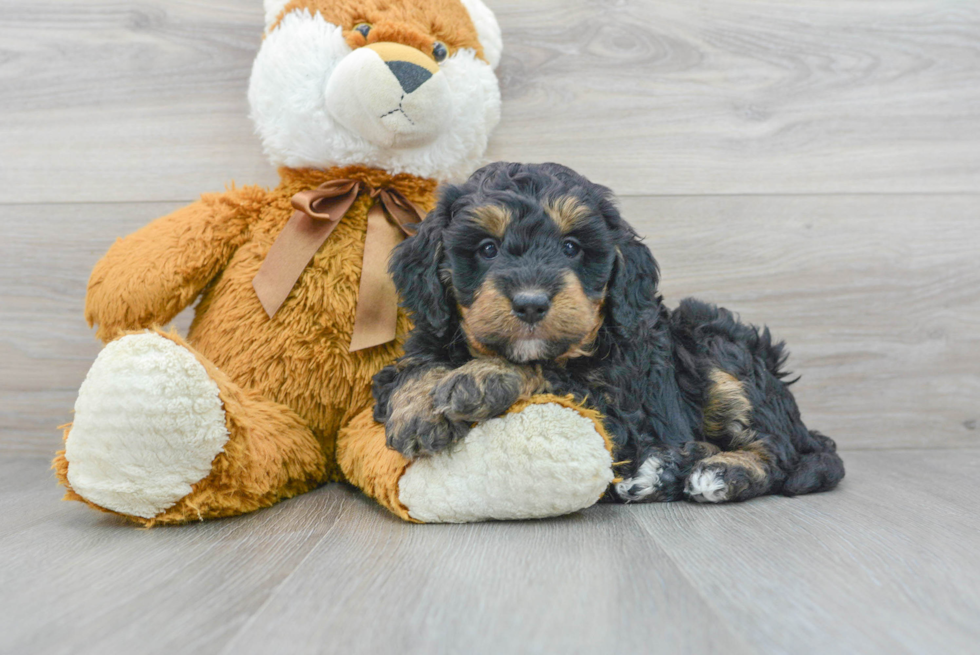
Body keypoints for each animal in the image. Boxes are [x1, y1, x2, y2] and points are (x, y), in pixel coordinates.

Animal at [372, 161, 848, 504]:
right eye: (488, 249)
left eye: (571, 247)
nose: (531, 302)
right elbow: (410, 369)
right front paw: (418, 411)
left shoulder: (619, 404)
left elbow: (552, 373)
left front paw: (481, 377)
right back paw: (659, 473)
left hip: (714, 344)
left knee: (777, 451)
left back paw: (722, 473)